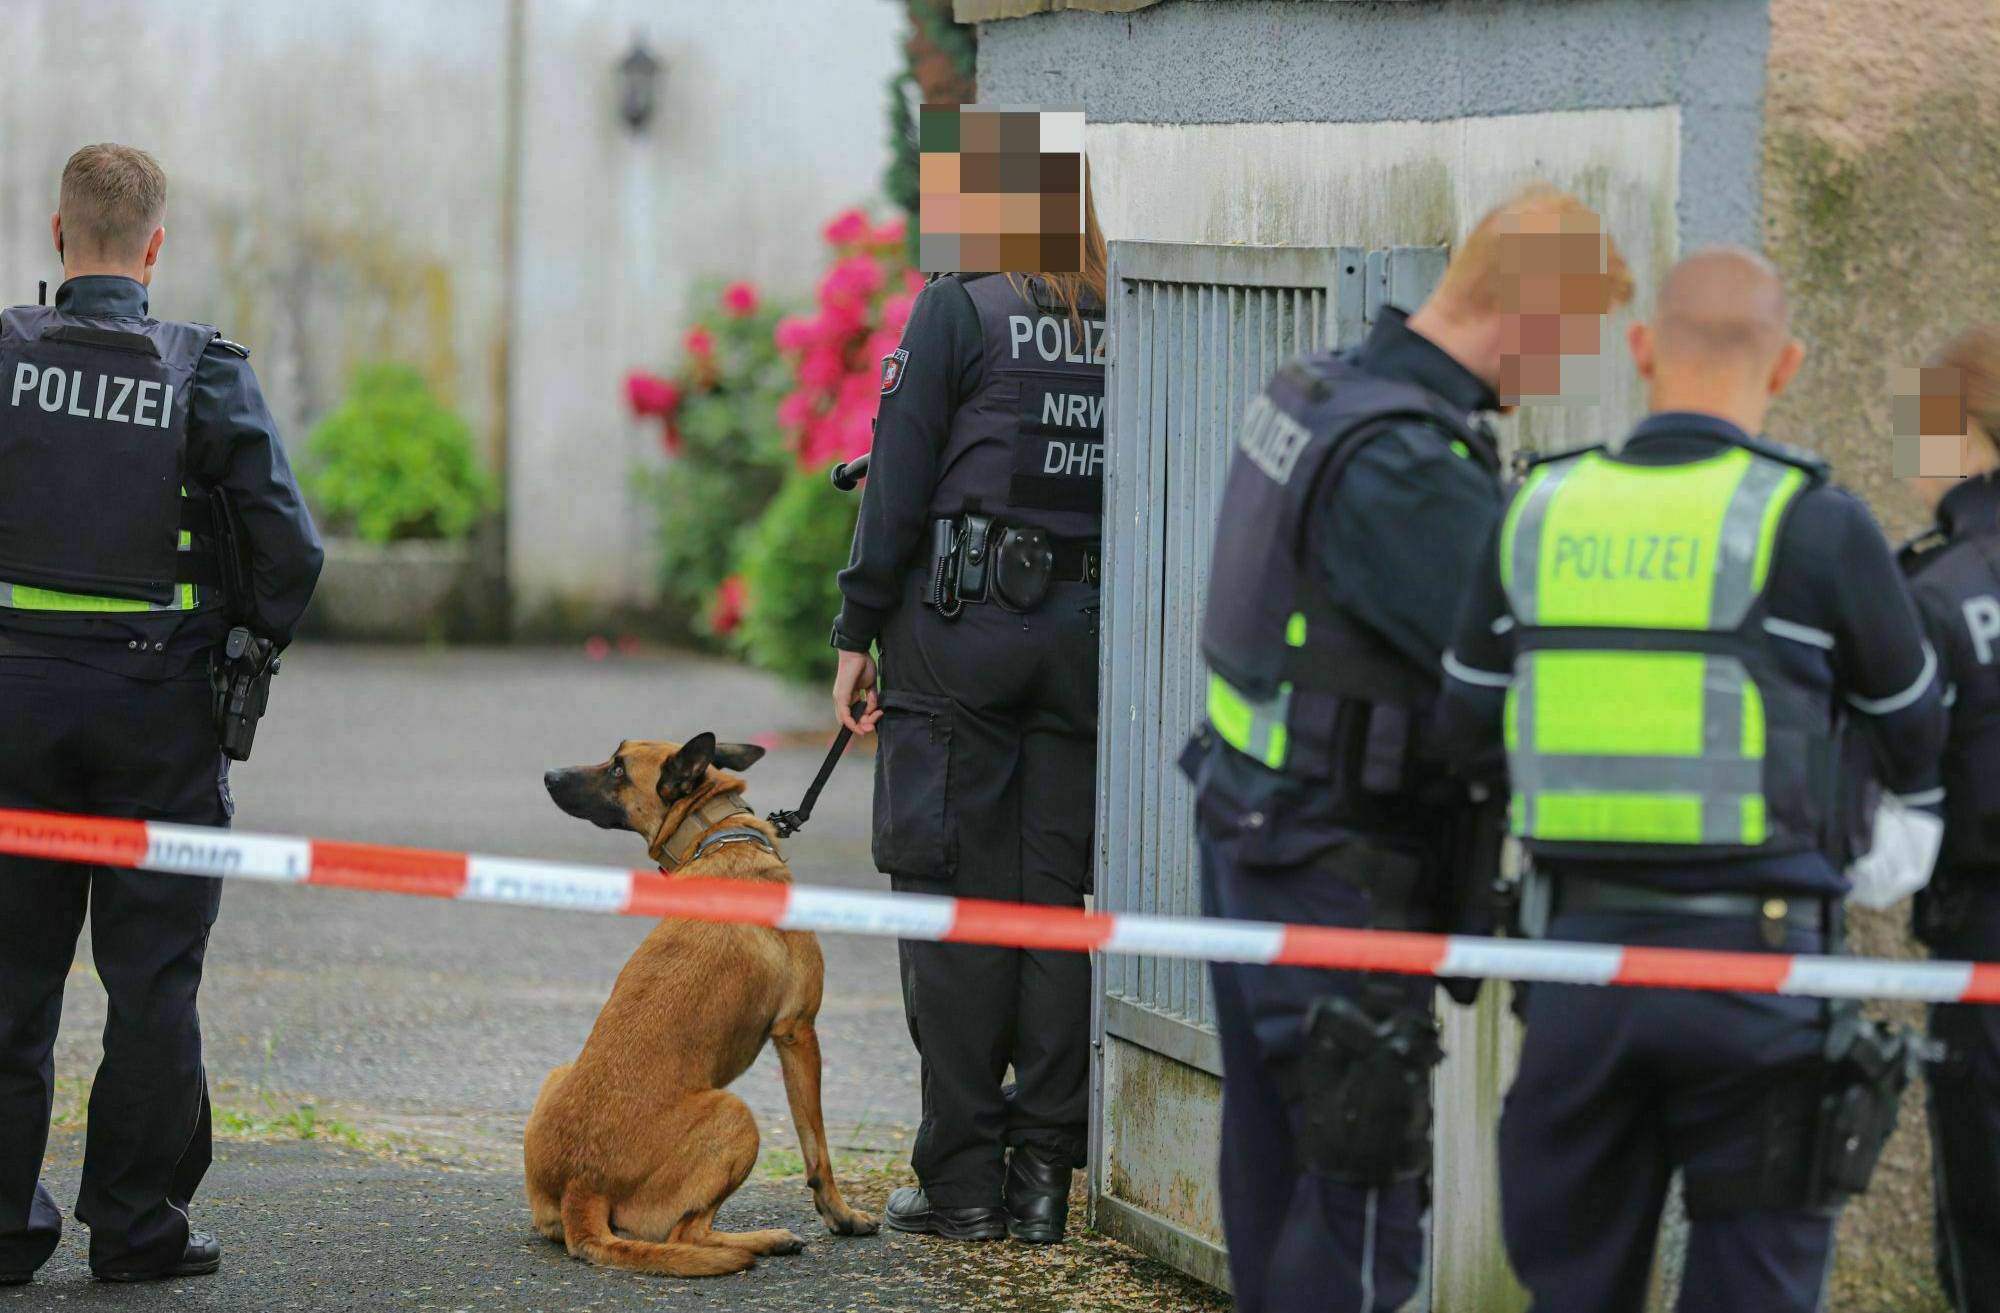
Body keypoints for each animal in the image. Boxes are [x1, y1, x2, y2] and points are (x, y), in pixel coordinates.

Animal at [526, 732, 878, 1276]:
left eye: (618, 768)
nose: (548, 776)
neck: (720, 834)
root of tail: (581, 1189)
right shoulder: (798, 1030)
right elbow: (816, 1148)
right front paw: (841, 1215)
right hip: (736, 1114)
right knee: (687, 1234)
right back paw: (762, 1241)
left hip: (558, 1074)